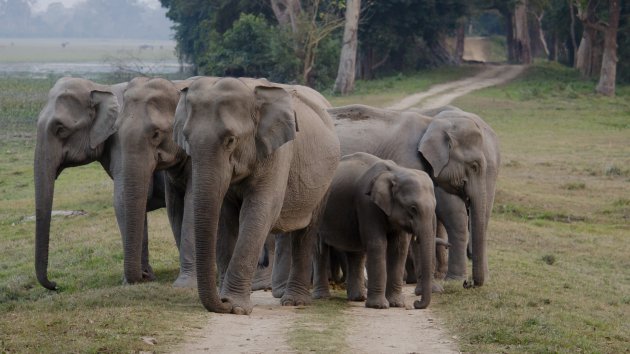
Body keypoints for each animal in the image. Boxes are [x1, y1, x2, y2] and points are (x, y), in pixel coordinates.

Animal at [34, 77, 164, 290]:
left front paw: (135, 279)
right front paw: (146, 277)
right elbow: (136, 201)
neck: (101, 88)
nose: (55, 284)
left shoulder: (124, 140)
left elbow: (122, 200)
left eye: (61, 129)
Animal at [173, 77, 340, 316]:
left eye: (231, 140)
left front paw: (235, 307)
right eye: (186, 138)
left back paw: (295, 302)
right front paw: (229, 302)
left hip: (326, 179)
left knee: (307, 230)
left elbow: (260, 209)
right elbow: (225, 217)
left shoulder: (279, 152)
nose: (222, 302)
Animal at [312, 153, 440, 310]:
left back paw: (358, 298)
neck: (396, 172)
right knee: (319, 250)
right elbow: (377, 244)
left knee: (356, 252)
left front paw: (397, 304)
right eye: (413, 208)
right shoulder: (367, 203)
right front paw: (379, 306)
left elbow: (399, 248)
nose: (416, 304)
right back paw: (322, 297)